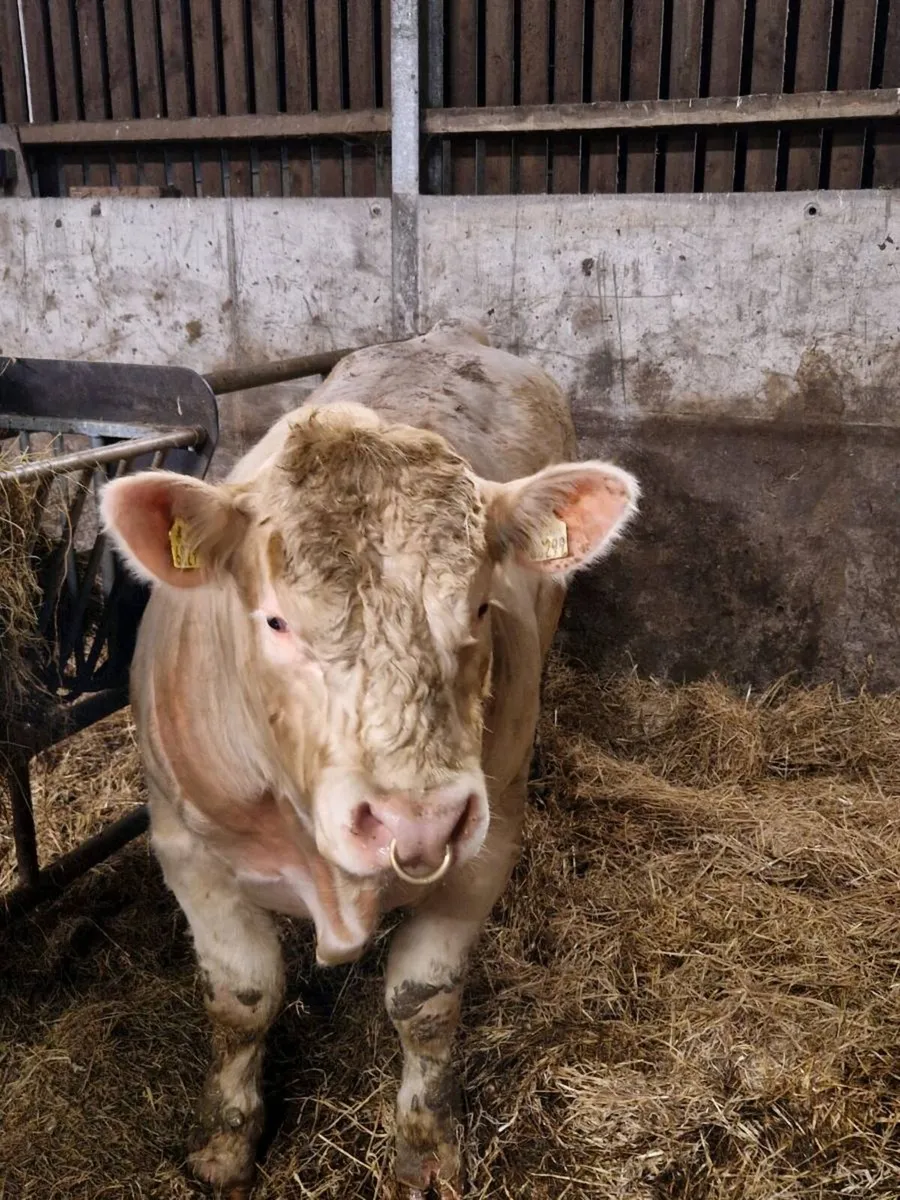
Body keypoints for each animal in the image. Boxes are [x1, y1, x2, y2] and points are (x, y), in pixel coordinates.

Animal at [100, 320, 639, 1198]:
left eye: (481, 606)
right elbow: (243, 997)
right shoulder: (185, 849)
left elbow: (423, 1000)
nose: (414, 823)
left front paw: (425, 1149)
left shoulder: (488, 843)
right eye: (275, 621)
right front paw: (224, 1146)